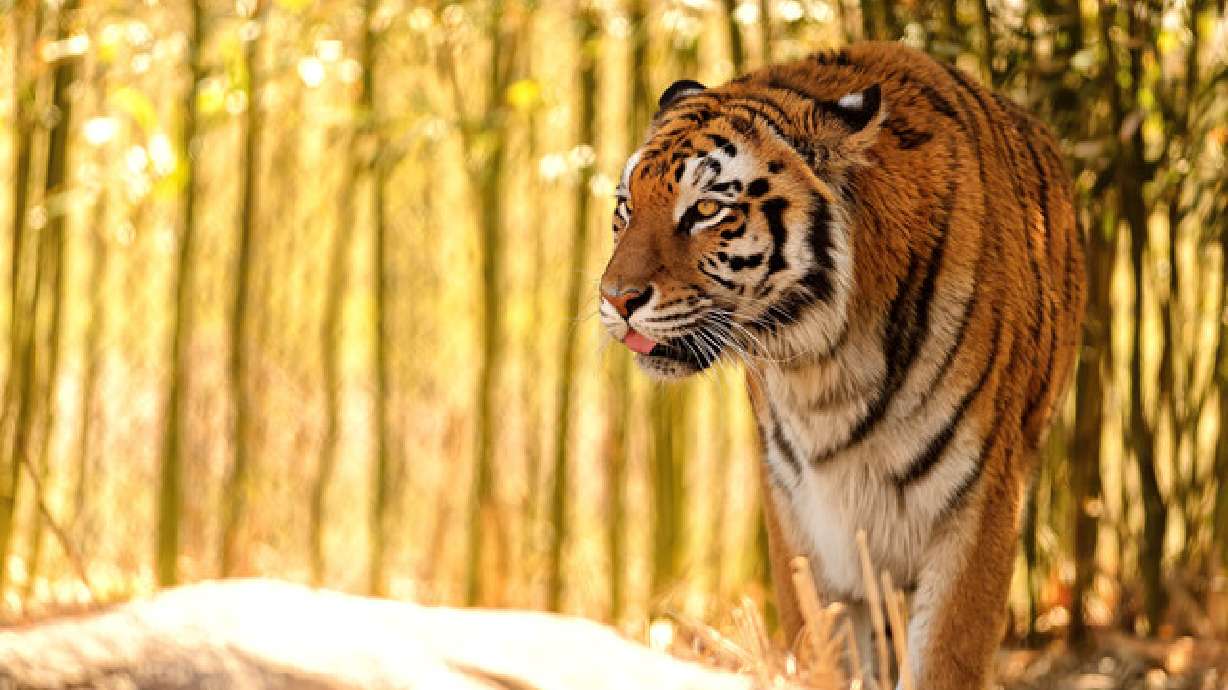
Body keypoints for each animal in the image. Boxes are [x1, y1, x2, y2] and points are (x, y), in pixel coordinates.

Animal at [598, 42, 1086, 689]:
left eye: (704, 209)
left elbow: (944, 659)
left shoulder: (979, 503)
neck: (823, 368)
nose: (614, 298)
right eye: (626, 208)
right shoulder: (801, 515)